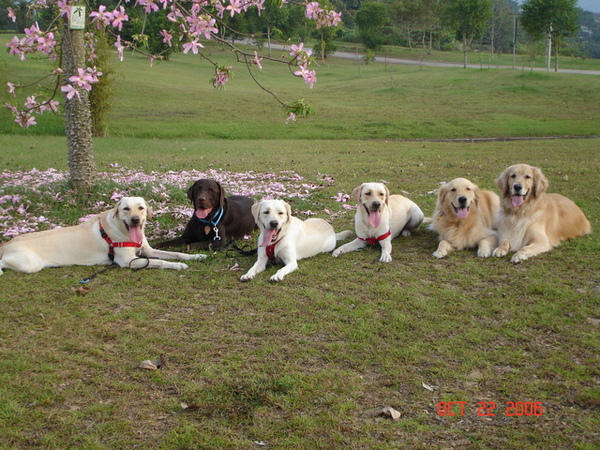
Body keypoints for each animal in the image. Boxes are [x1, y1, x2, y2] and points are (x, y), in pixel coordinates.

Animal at [0, 197, 206, 274]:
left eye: (141, 208)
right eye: (125, 209)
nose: (135, 220)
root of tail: (7, 243)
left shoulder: (147, 251)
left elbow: (176, 253)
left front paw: (196, 256)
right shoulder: (128, 261)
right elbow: (161, 262)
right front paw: (177, 266)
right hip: (29, 264)